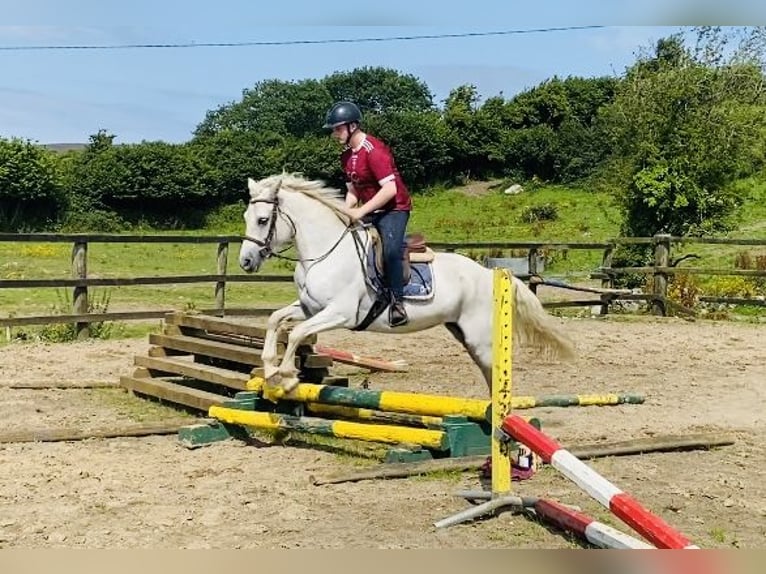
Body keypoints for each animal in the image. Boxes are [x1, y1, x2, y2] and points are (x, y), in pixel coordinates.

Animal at [240, 173, 576, 398]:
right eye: (245, 216)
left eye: (262, 220)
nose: (245, 262)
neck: (325, 251)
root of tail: (488, 273)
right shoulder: (310, 309)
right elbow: (275, 320)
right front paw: (270, 369)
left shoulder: (340, 313)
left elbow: (296, 333)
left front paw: (287, 377)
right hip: (464, 334)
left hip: (479, 338)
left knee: (495, 373)